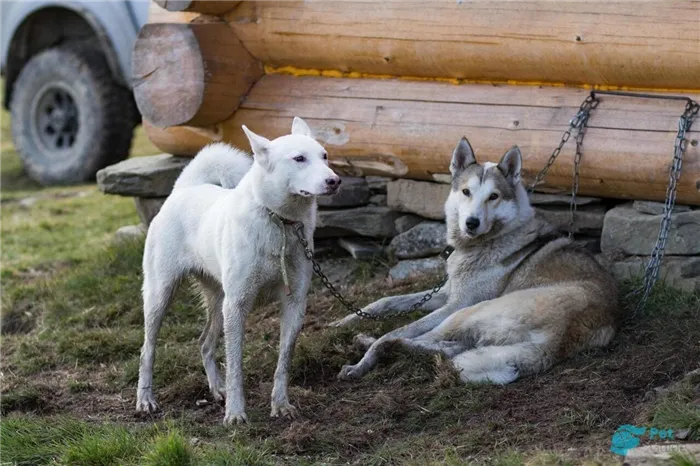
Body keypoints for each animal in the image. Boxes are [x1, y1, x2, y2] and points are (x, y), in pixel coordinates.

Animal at [135, 116, 340, 422]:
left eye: (324, 156)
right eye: (299, 159)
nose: (335, 180)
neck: (279, 222)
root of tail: (185, 188)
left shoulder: (294, 304)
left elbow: (283, 363)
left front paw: (280, 404)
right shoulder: (238, 305)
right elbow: (235, 367)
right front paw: (235, 414)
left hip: (219, 301)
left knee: (204, 343)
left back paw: (216, 389)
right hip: (161, 296)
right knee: (147, 351)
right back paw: (145, 399)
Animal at [334, 137, 624, 384]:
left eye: (493, 196)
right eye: (466, 192)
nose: (471, 223)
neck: (485, 244)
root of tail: (558, 339)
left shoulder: (455, 304)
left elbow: (400, 327)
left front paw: (360, 354)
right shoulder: (447, 294)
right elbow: (384, 301)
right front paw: (341, 322)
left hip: (466, 314)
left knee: (402, 338)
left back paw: (367, 353)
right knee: (445, 349)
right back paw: (367, 340)